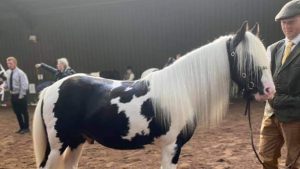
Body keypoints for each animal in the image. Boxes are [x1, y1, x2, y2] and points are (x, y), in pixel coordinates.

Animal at [34, 21, 276, 168]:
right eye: (248, 59)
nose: (269, 90)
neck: (183, 88)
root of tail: (51, 89)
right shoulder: (172, 147)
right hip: (57, 146)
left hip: (75, 143)